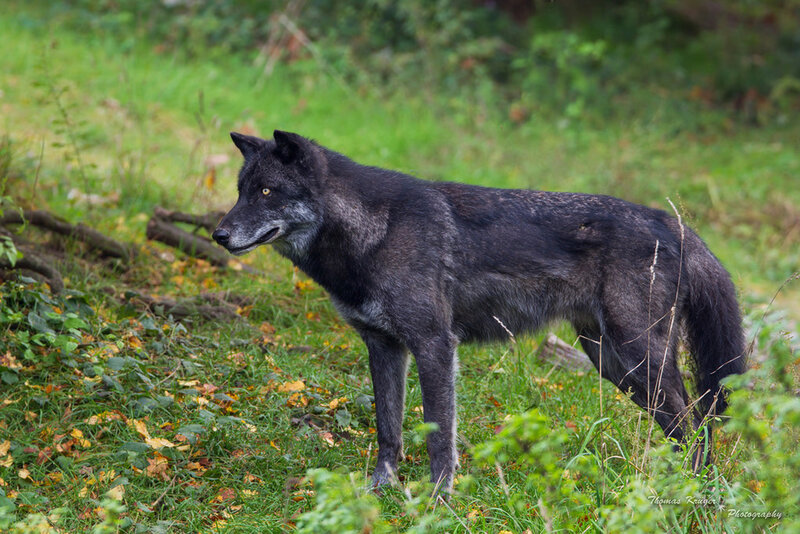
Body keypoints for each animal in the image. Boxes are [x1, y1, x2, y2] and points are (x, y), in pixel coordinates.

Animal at [212, 130, 746, 491]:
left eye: (267, 192)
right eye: (240, 191)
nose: (218, 235)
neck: (373, 233)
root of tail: (670, 221)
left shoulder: (434, 344)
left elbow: (437, 435)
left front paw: (437, 500)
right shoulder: (384, 347)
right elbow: (388, 429)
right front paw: (381, 490)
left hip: (637, 354)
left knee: (695, 422)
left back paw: (696, 493)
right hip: (612, 362)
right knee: (686, 424)